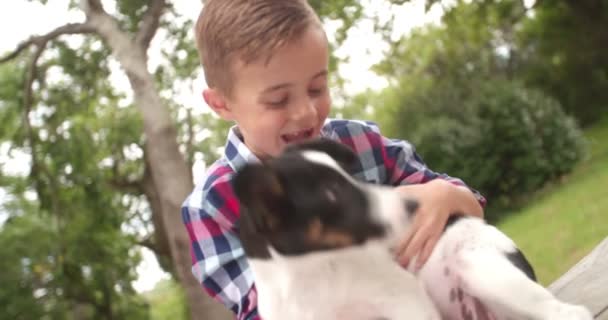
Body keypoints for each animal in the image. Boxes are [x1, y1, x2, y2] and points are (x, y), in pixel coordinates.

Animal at [234, 138, 592, 320]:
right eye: (332, 195)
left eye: (351, 177)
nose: (414, 207)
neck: (318, 272)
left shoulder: (404, 303)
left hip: (479, 268)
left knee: (570, 313)